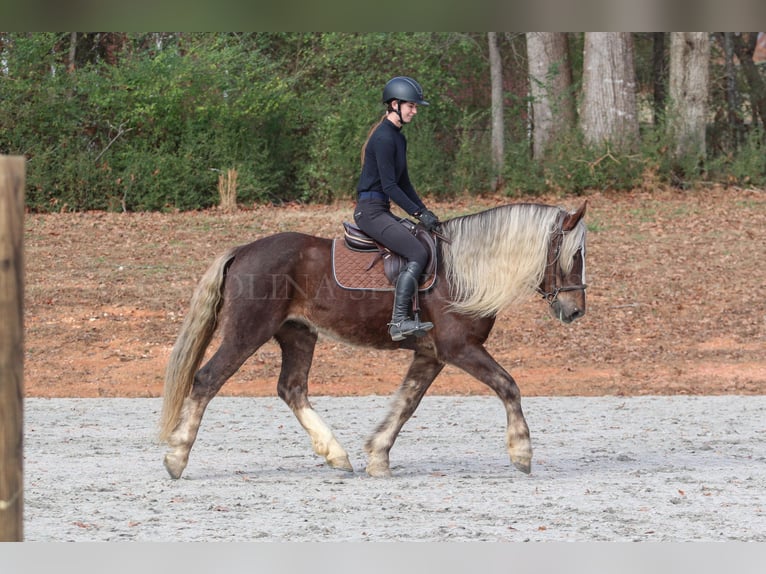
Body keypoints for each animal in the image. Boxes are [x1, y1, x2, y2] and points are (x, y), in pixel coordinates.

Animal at [156, 202, 588, 482]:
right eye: (573, 255)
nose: (575, 310)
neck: (463, 270)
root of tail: (243, 250)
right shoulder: (459, 348)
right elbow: (508, 386)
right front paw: (522, 451)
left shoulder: (431, 355)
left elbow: (406, 404)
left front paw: (378, 455)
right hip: (247, 332)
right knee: (207, 380)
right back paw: (176, 457)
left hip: (298, 333)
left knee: (291, 388)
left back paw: (336, 454)